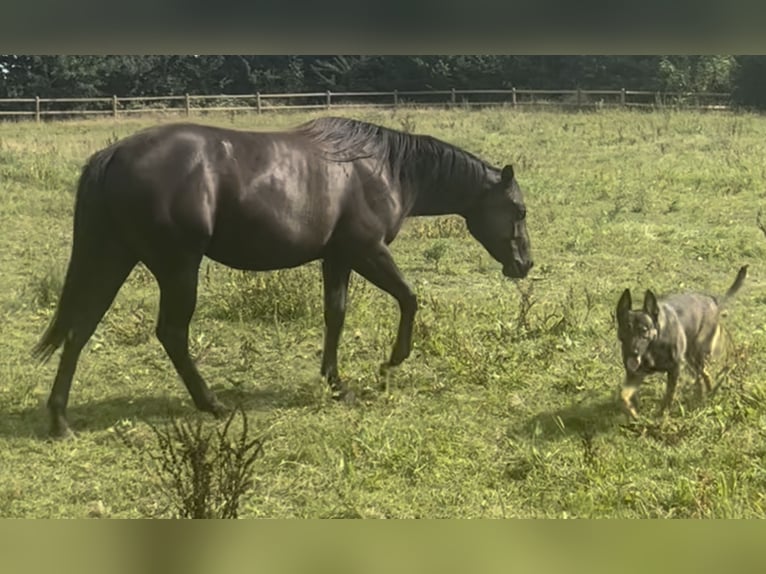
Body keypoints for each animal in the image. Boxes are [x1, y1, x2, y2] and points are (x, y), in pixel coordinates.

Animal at [33, 116, 533, 437]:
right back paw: (211, 403)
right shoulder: (367, 251)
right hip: (178, 266)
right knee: (171, 333)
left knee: (80, 329)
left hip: (115, 257)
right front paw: (391, 362)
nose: (525, 264)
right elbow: (409, 298)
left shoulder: (337, 258)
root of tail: (114, 154)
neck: (384, 169)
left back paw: (59, 420)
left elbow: (335, 316)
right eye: (519, 210)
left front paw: (335, 382)